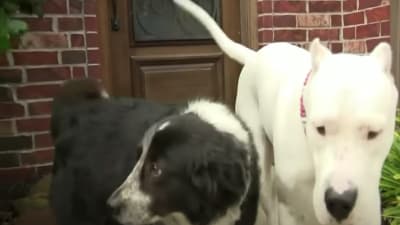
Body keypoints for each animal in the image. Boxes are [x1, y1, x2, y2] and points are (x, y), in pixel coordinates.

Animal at [173, 0, 398, 225]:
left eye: (374, 133)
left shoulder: (368, 208)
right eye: (320, 129)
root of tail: (254, 56)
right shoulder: (289, 207)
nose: (339, 200)